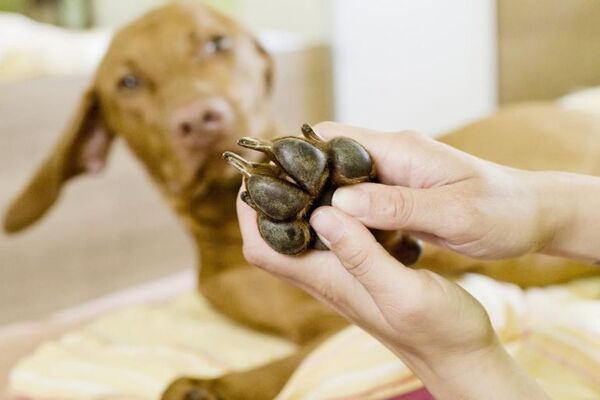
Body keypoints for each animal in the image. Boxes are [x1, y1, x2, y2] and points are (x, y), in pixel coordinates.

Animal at [4, 1, 600, 398]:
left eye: (216, 43)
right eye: (127, 82)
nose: (200, 119)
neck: (224, 231)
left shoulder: (339, 321)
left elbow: (283, 366)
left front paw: (210, 385)